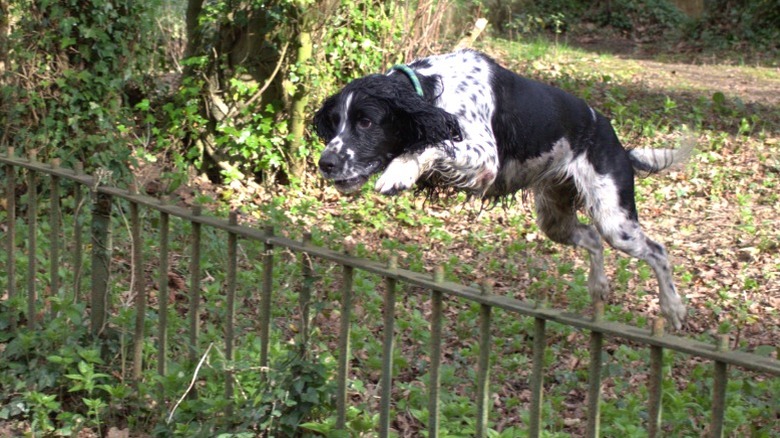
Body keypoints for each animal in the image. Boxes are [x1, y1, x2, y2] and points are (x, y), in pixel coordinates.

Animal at [310, 49, 688, 328]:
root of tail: (617, 141)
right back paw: (599, 288)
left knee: (657, 251)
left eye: (366, 121)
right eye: (336, 122)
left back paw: (673, 308)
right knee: (593, 240)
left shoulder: (485, 159)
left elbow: (431, 146)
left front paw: (399, 171)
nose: (325, 163)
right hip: (555, 218)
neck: (434, 89)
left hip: (614, 219)